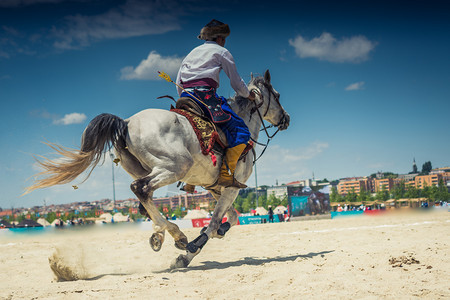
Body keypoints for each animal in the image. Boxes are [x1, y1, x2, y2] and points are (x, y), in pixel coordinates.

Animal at [25, 69, 292, 268]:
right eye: (277, 95)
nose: (286, 118)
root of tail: (127, 122)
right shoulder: (232, 189)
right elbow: (216, 221)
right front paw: (190, 251)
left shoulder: (217, 188)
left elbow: (232, 218)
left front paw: (214, 233)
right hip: (175, 166)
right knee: (140, 189)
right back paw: (177, 235)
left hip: (150, 169)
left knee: (146, 199)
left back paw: (162, 233)